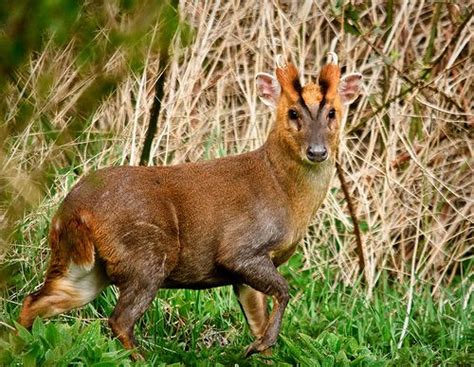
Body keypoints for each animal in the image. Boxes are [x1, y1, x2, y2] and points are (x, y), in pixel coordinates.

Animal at [17, 53, 360, 360]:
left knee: (35, 300)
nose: (317, 151)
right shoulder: (240, 248)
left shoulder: (247, 272)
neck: (285, 193)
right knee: (118, 320)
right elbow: (284, 292)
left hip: (84, 267)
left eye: (332, 112)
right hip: (147, 254)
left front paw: (261, 349)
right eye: (292, 113)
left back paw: (23, 345)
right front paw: (256, 346)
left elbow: (258, 320)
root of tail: (72, 210)